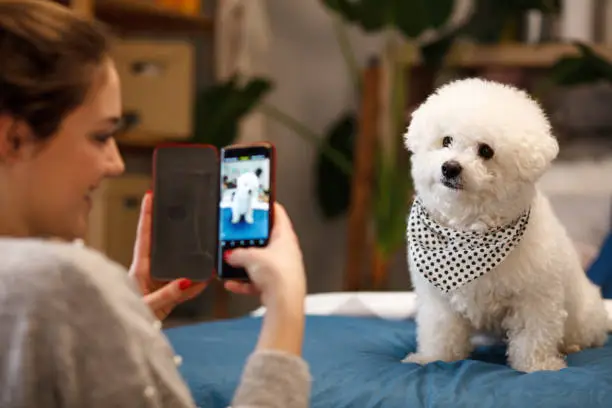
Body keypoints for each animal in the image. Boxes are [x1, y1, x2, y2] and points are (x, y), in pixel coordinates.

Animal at [404, 77, 608, 372]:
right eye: (446, 140)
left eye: (486, 151)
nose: (450, 167)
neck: (469, 232)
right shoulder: (438, 299)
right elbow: (440, 330)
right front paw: (433, 358)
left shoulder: (536, 295)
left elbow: (534, 333)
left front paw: (538, 366)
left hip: (583, 315)